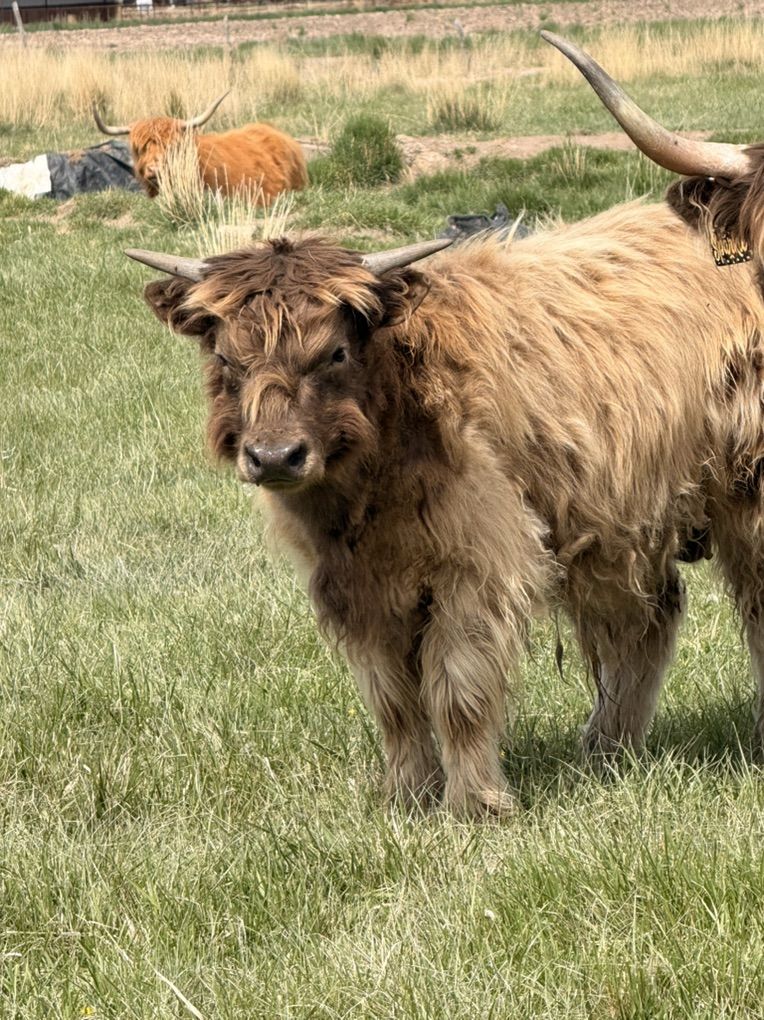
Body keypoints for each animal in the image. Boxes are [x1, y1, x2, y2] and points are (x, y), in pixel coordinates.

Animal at [125, 36, 764, 818]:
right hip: (624, 518)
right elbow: (394, 699)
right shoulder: (354, 586)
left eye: (335, 352)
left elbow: (457, 687)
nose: (275, 457)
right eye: (225, 356)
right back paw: (608, 749)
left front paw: (476, 805)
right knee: (646, 619)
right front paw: (407, 794)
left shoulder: (479, 560)